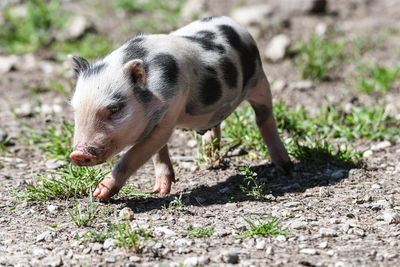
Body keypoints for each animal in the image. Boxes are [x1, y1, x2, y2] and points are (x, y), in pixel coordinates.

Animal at [69, 15, 290, 200]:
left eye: (114, 109)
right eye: (75, 110)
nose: (78, 154)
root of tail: (234, 23)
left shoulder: (171, 111)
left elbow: (135, 154)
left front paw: (100, 193)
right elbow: (158, 152)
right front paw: (160, 190)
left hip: (260, 81)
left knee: (264, 118)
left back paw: (284, 167)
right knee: (217, 124)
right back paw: (209, 154)